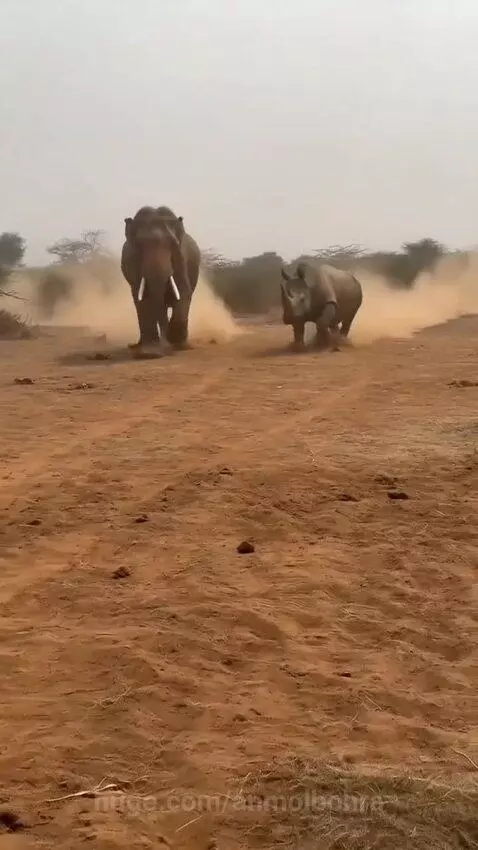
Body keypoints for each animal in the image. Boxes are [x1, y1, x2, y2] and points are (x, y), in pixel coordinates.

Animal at [120, 205, 201, 355]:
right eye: (139, 245)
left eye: (173, 244)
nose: (166, 348)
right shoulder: (133, 263)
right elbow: (141, 297)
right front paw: (149, 353)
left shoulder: (181, 258)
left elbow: (184, 291)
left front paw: (178, 345)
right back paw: (137, 346)